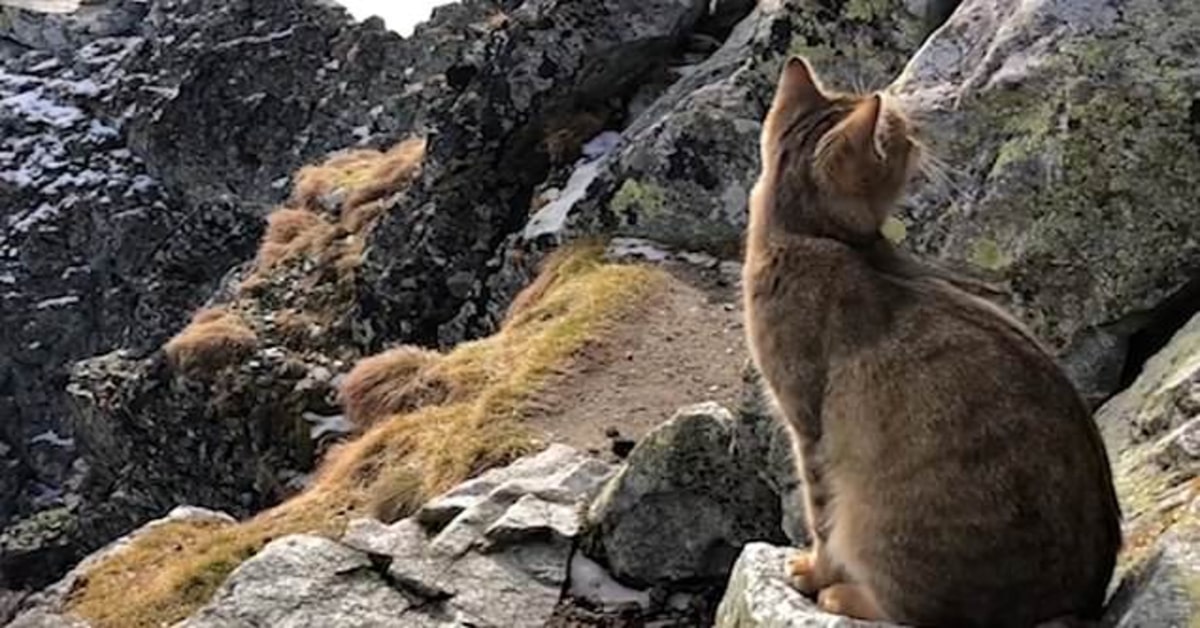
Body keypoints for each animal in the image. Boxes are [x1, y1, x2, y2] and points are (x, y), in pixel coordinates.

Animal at [739, 56, 1123, 624]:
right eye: (898, 132)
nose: (918, 135)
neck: (809, 236)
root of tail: (1075, 605)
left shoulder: (807, 427)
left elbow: (820, 520)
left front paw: (813, 571)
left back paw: (841, 594)